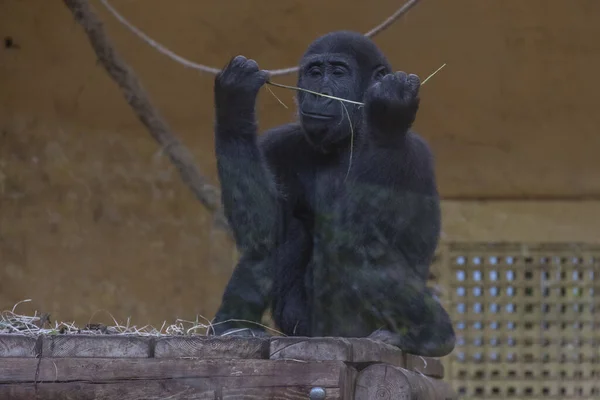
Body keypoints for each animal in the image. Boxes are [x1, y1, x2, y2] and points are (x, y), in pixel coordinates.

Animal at [210, 30, 454, 356]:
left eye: (338, 73)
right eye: (314, 73)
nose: (319, 94)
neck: (348, 137)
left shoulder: (413, 154)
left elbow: (358, 238)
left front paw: (389, 114)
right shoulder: (278, 143)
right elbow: (263, 228)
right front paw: (234, 104)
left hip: (349, 329)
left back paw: (431, 335)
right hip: (302, 327)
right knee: (281, 235)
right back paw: (232, 326)